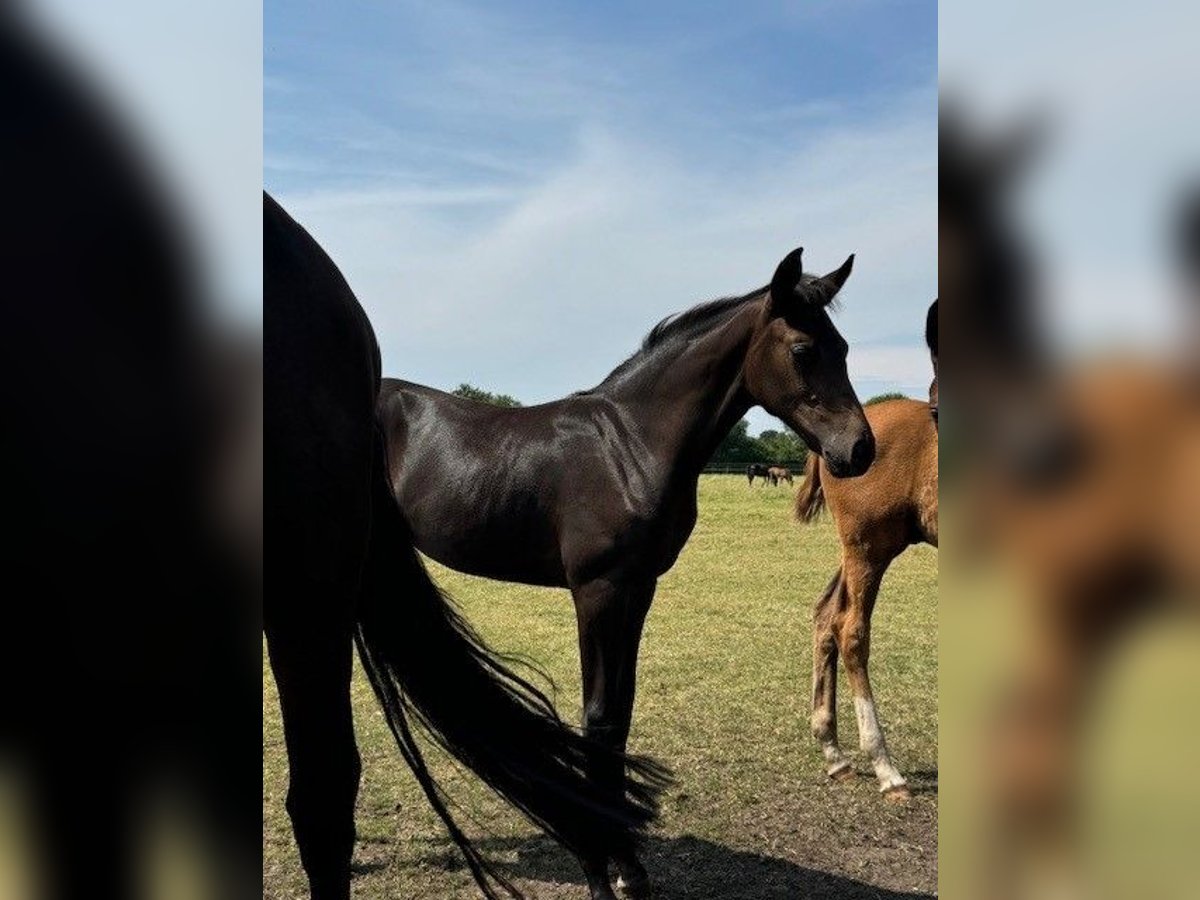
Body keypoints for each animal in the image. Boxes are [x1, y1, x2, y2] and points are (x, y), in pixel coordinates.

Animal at [379, 247, 878, 900]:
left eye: (841, 346)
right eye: (802, 349)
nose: (860, 450)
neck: (632, 445)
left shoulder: (637, 591)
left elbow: (620, 715)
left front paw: (629, 869)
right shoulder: (597, 592)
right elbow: (597, 719)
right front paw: (599, 869)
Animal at [796, 300, 936, 801]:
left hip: (863, 548)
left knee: (825, 615)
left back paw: (834, 753)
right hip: (868, 547)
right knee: (851, 631)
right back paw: (885, 767)